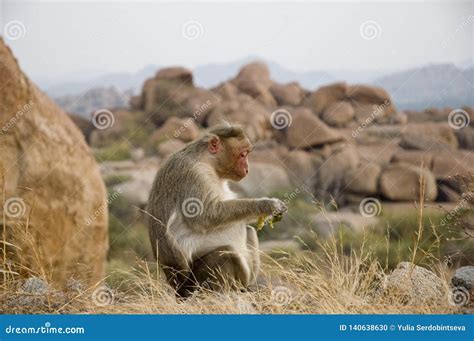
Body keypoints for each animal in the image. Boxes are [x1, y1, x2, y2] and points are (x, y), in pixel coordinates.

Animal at [148, 124, 286, 294]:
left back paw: (247, 287)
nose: (247, 169)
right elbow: (205, 216)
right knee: (224, 254)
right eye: (243, 154)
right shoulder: (195, 175)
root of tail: (178, 288)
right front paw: (266, 205)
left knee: (249, 231)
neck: (208, 162)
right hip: (195, 282)